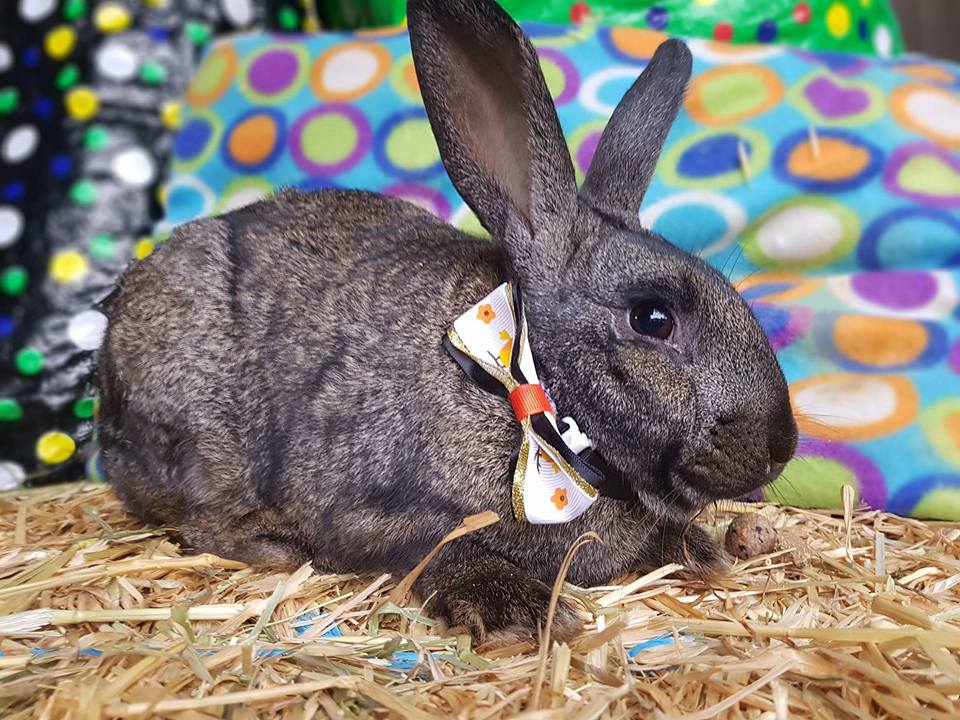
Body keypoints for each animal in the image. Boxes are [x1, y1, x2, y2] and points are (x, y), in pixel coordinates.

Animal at [97, 0, 798, 644]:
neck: (530, 396)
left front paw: (703, 553)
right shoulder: (379, 519)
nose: (781, 446)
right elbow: (440, 553)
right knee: (198, 522)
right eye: (653, 319)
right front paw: (522, 609)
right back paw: (275, 548)